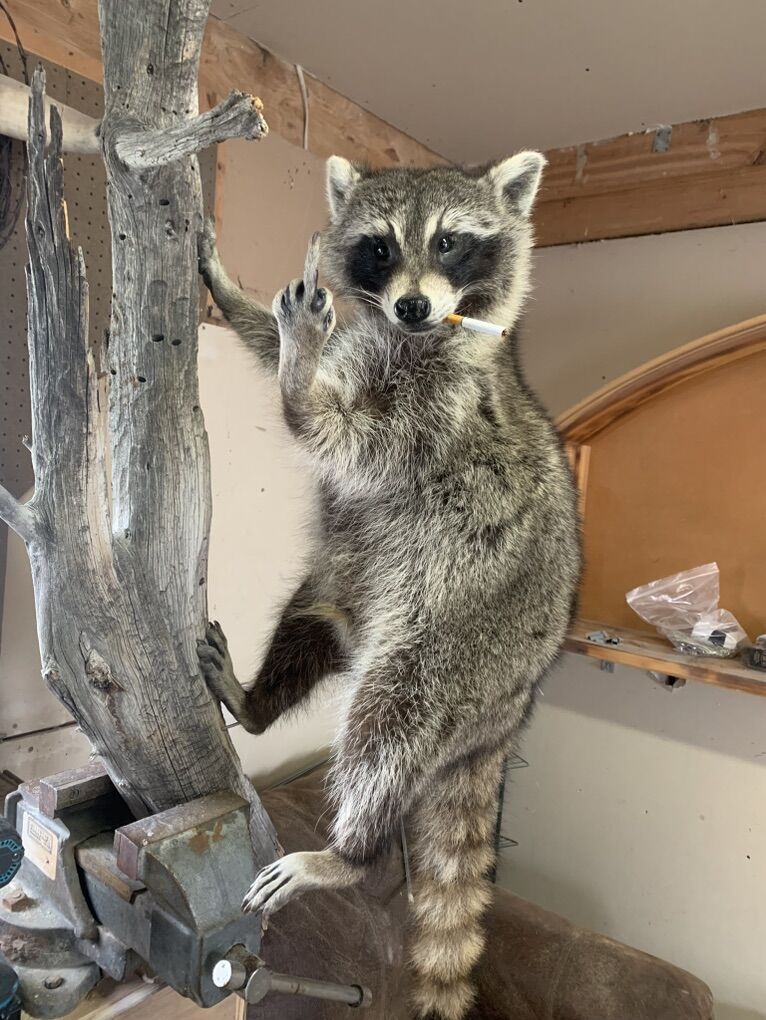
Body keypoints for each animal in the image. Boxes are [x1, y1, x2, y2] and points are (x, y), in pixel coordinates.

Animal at [197, 151, 581, 1020]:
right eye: (379, 247)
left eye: (449, 243)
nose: (411, 304)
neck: (409, 335)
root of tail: (508, 714)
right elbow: (273, 345)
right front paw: (236, 297)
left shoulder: (438, 412)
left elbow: (340, 435)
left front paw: (298, 373)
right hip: (344, 588)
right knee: (306, 620)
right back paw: (257, 702)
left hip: (454, 647)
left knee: (386, 721)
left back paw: (350, 853)